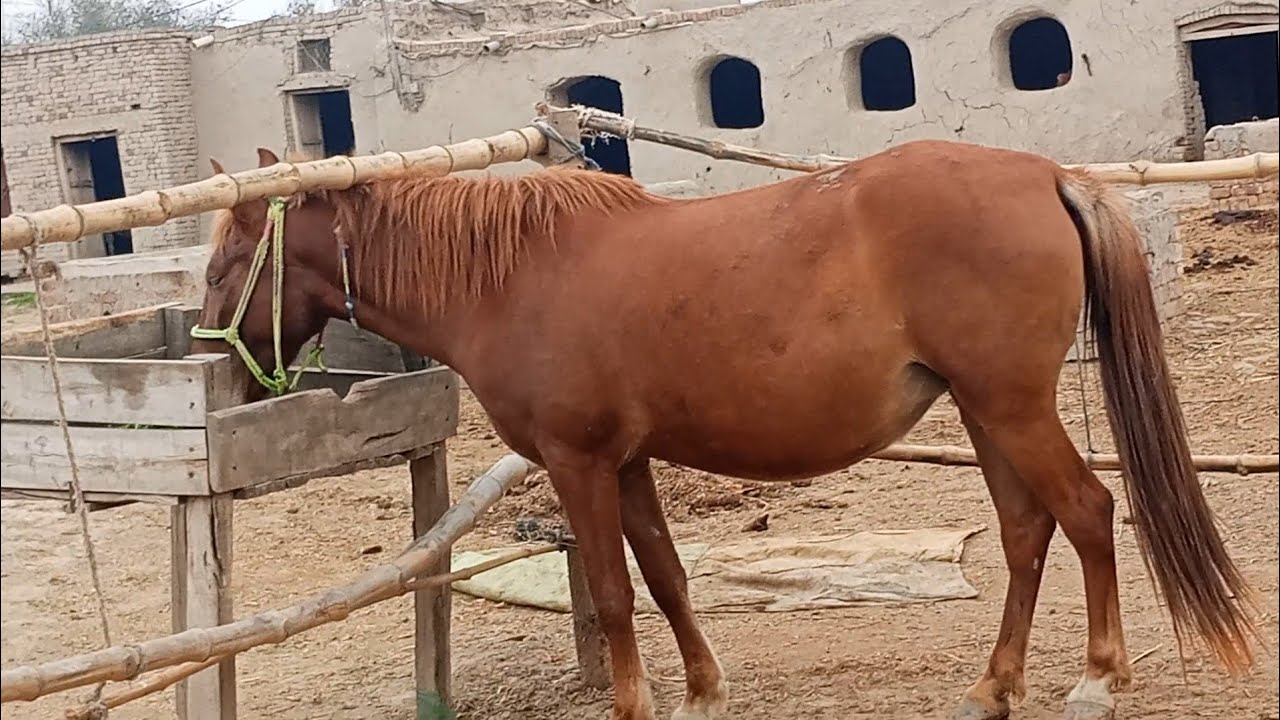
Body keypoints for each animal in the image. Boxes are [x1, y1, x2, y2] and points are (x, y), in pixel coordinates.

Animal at [191, 139, 1257, 720]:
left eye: (227, 261)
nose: (225, 379)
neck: (510, 279)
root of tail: (1047, 175)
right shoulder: (626, 464)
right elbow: (665, 577)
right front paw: (703, 690)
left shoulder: (580, 464)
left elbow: (613, 595)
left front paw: (635, 702)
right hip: (987, 413)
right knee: (1028, 532)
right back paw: (994, 685)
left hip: (1012, 407)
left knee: (1086, 512)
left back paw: (1096, 678)